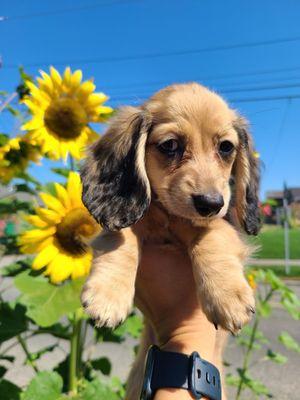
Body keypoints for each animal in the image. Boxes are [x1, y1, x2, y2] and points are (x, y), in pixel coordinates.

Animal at [80, 83, 260, 398]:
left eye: (226, 147)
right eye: (170, 145)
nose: (211, 203)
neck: (169, 219)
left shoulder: (223, 225)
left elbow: (213, 235)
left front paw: (227, 297)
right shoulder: (127, 219)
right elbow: (123, 237)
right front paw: (108, 295)